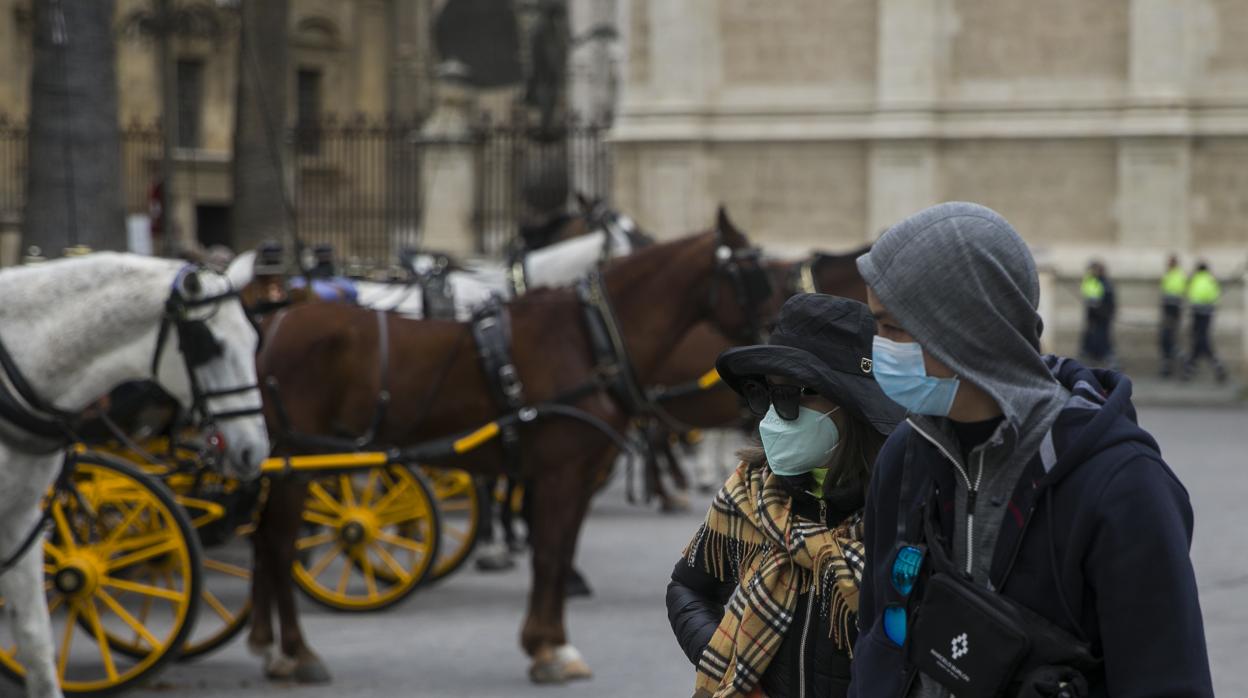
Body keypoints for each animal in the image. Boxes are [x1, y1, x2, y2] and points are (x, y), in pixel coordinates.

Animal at [243, 222, 768, 684]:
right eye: (758, 272)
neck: (587, 337)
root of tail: (274, 320)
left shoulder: (576, 475)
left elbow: (559, 550)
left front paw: (550, 641)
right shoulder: (559, 474)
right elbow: (550, 553)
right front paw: (549, 648)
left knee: (264, 539)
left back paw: (269, 647)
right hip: (296, 461)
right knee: (279, 540)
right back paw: (297, 651)